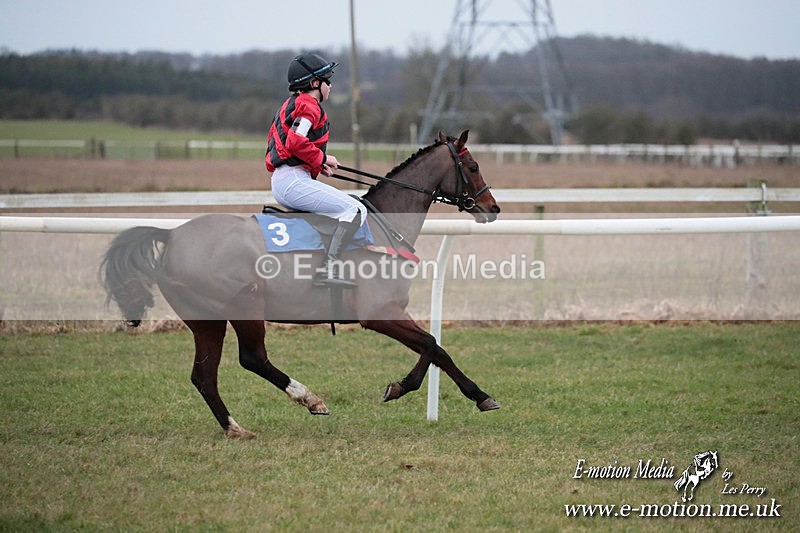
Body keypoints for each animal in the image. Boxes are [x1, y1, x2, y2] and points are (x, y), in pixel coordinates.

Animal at [100, 130, 502, 438]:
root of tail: (171, 235)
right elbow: (433, 345)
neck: (382, 226)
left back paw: (235, 428)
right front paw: (426, 389)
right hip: (245, 304)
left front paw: (459, 392)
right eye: (473, 166)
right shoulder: (379, 314)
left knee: (204, 376)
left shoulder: (390, 314)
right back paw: (308, 398)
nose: (492, 207)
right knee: (252, 358)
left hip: (206, 320)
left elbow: (435, 349)